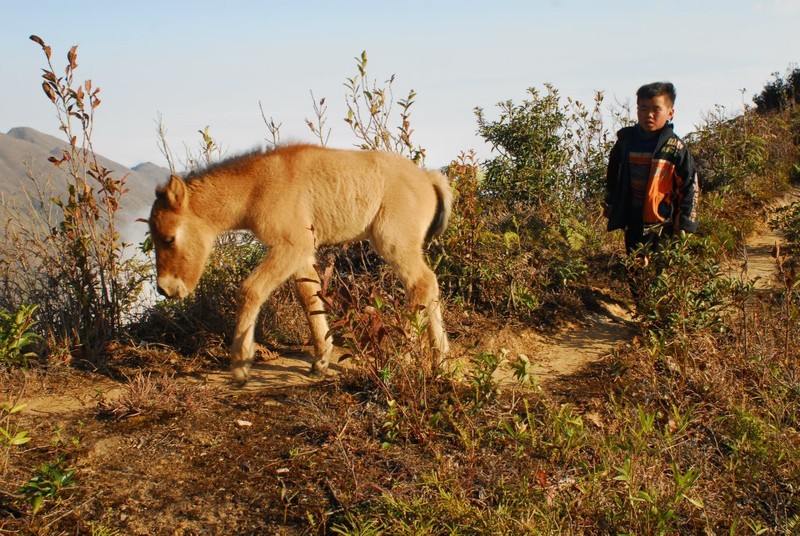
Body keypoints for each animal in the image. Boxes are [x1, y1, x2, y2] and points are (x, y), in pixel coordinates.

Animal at [148, 144, 454, 384]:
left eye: (169, 238)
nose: (165, 289)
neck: (259, 184)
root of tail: (428, 177)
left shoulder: (292, 245)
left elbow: (250, 290)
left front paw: (240, 364)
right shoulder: (302, 252)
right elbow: (310, 295)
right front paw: (321, 360)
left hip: (394, 243)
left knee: (421, 284)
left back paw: (403, 357)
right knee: (430, 285)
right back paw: (440, 361)